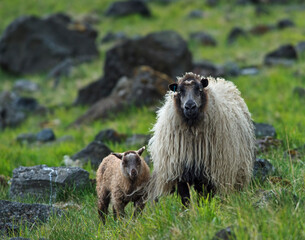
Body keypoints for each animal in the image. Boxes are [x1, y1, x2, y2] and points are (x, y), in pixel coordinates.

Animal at [147, 72, 254, 205]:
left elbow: (203, 196)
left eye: (199, 89)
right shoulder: (179, 171)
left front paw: (203, 208)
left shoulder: (206, 173)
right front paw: (188, 210)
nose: (190, 106)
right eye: (180, 91)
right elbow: (185, 198)